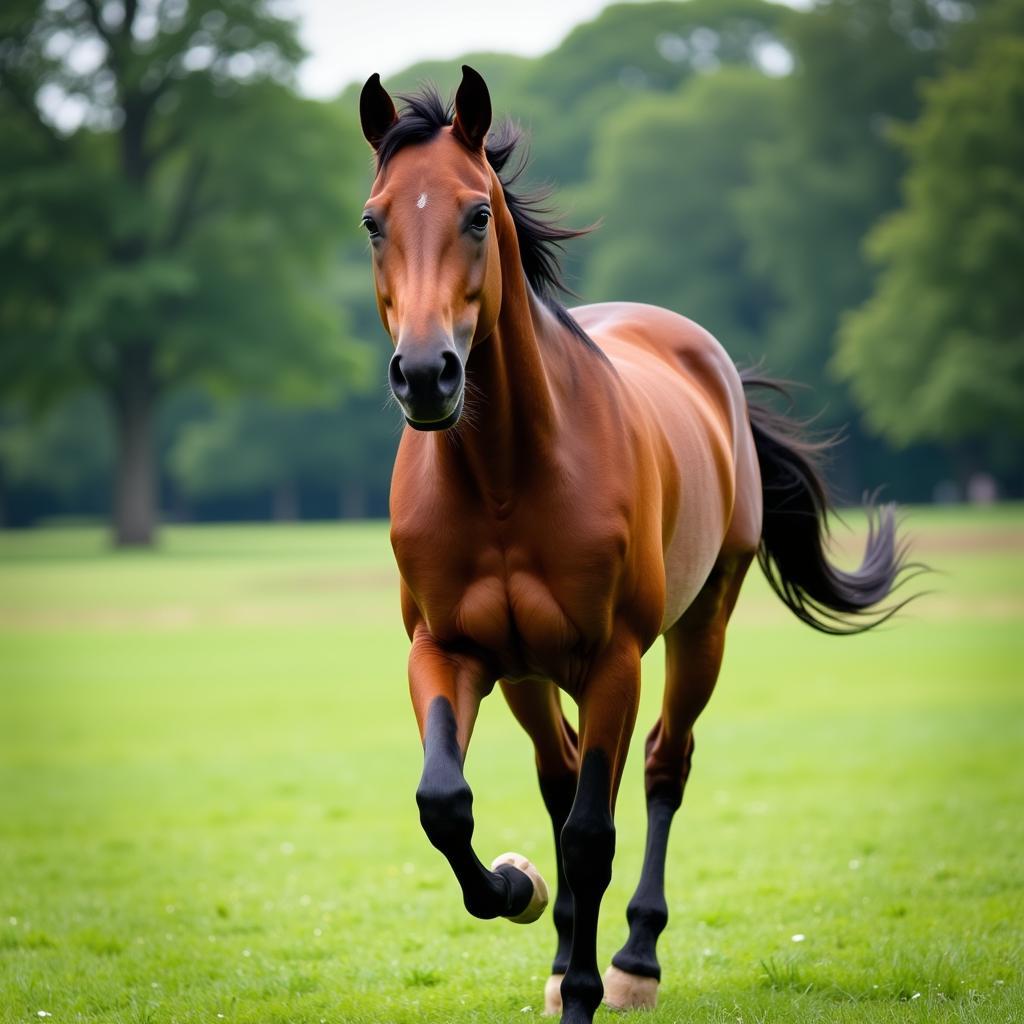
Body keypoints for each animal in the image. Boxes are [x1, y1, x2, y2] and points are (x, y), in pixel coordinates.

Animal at [356, 66, 909, 1024]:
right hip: (528, 674)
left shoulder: (615, 657)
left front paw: (586, 984)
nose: (426, 375)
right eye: (373, 219)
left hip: (699, 631)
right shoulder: (446, 650)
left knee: (657, 769)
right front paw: (518, 888)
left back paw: (634, 958)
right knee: (562, 770)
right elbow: (446, 802)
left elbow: (591, 833)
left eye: (475, 213)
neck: (507, 478)